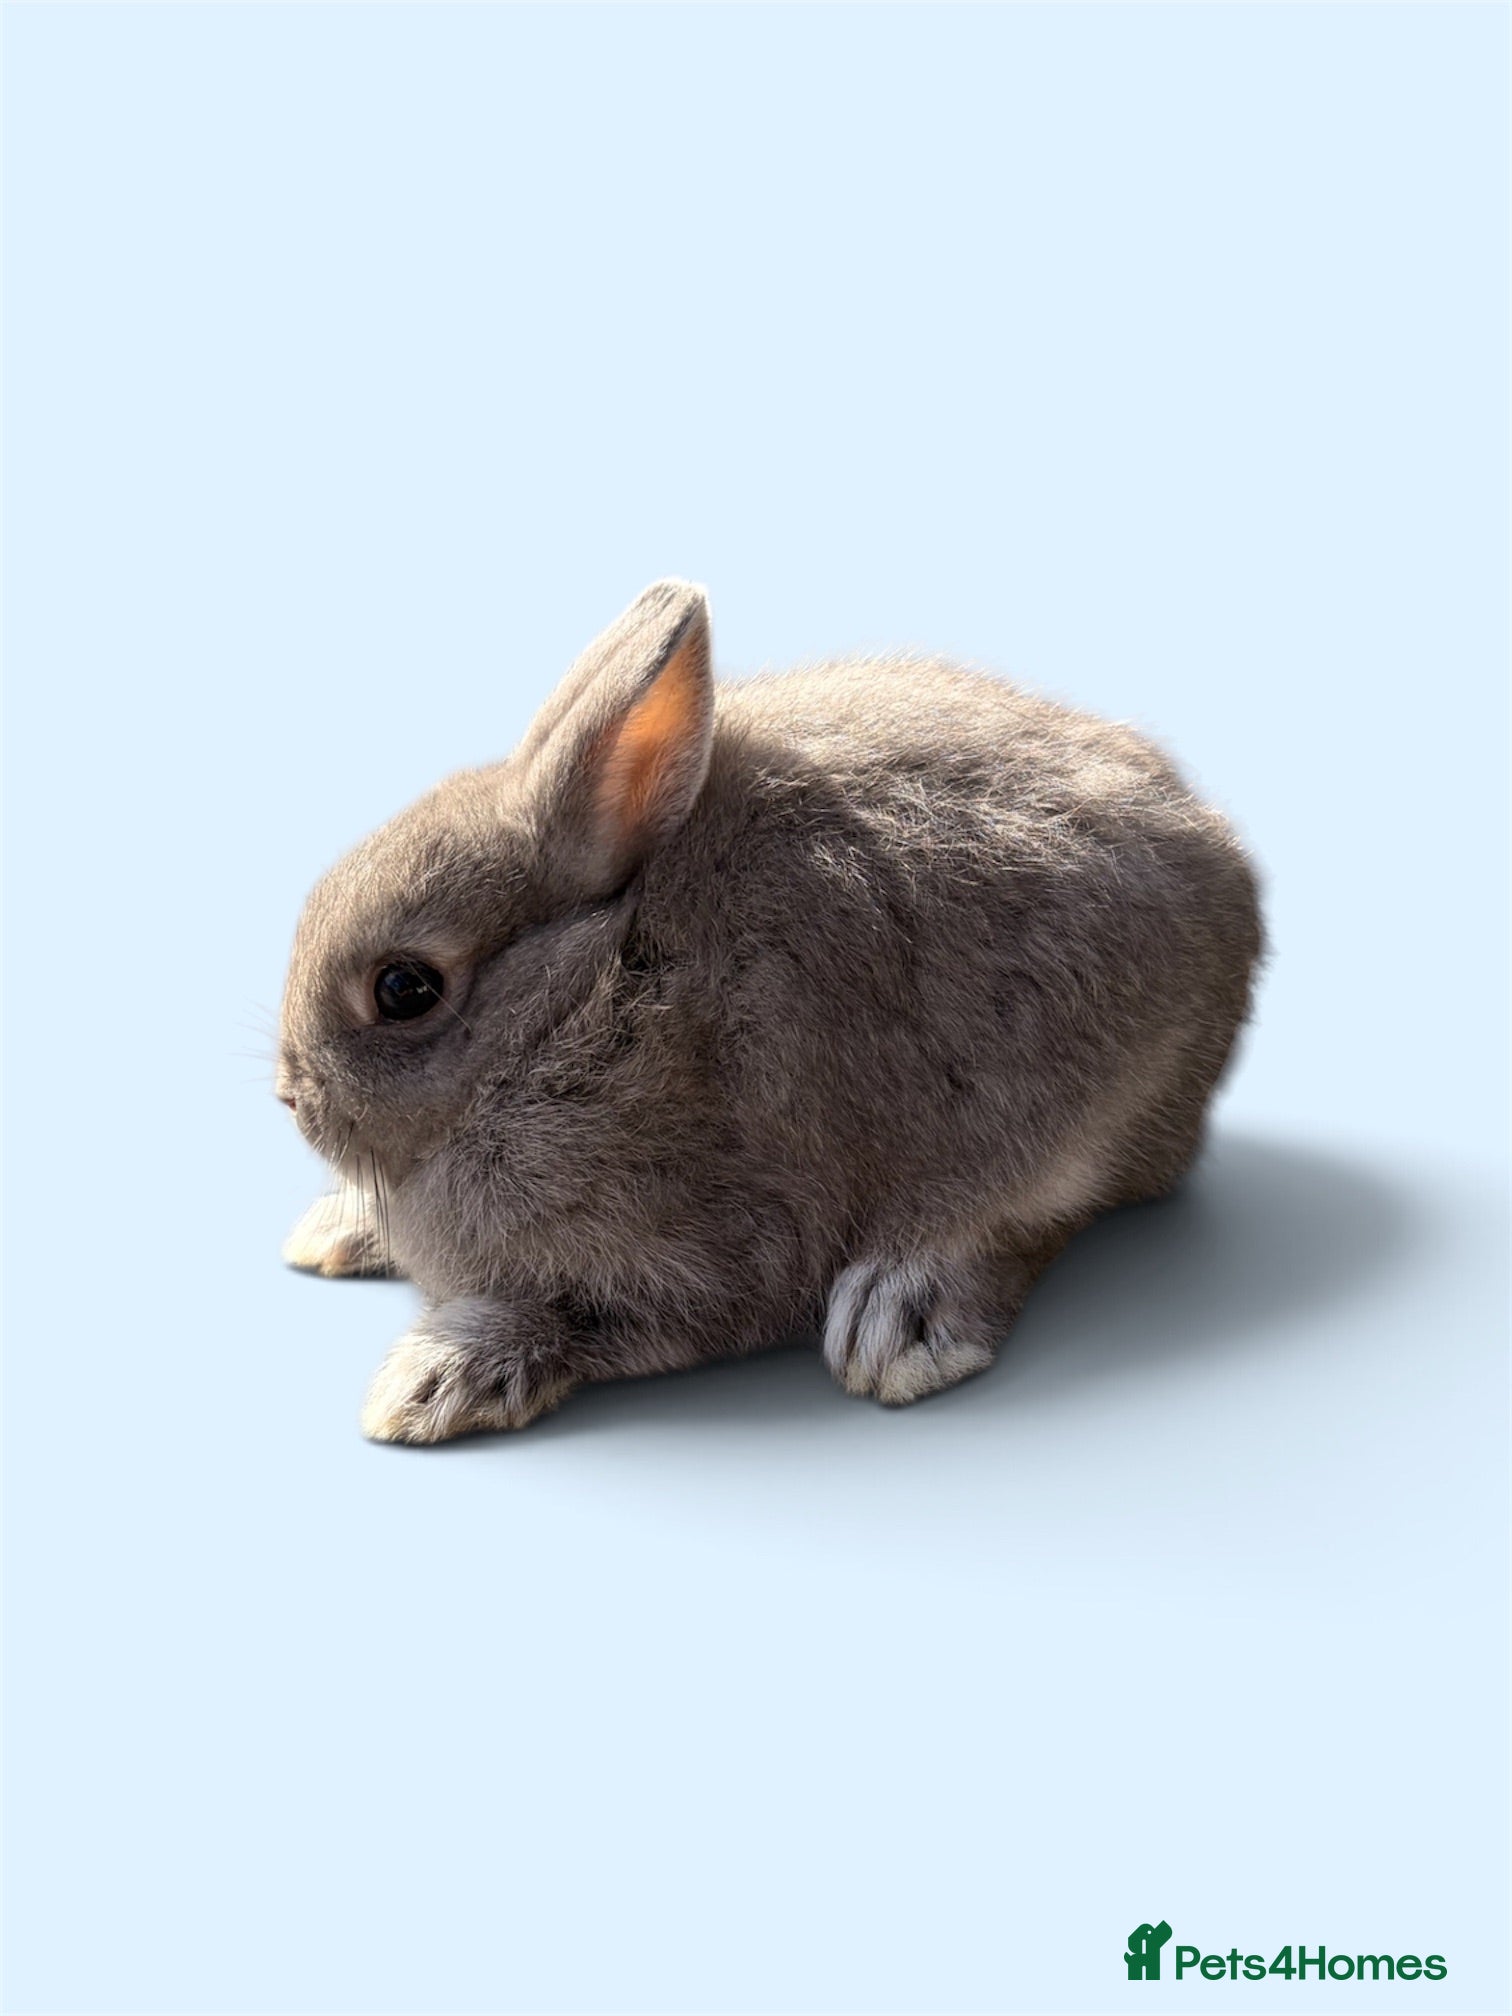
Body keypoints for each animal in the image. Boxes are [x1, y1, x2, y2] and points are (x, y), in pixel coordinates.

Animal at [277, 580, 1262, 1444]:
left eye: (405, 989)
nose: (293, 1097)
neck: (578, 1004)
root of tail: (1224, 870)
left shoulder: (708, 1260)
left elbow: (574, 1321)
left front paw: (428, 1385)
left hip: (1079, 1111)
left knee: (1027, 1211)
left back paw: (900, 1320)